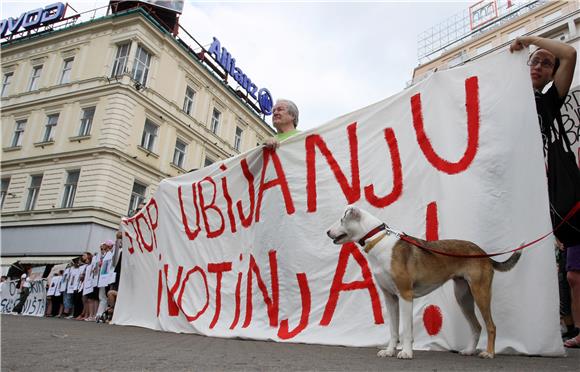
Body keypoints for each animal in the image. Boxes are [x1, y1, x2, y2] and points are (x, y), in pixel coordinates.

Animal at [326, 205, 520, 358]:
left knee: (491, 326)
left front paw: (406, 353)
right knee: (477, 326)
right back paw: (469, 351)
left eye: (342, 220)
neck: (378, 240)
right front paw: (389, 351)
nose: (327, 232)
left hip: (480, 292)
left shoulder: (405, 295)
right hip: (463, 296)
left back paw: (489, 353)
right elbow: (393, 329)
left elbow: (406, 329)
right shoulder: (390, 298)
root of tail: (484, 254)